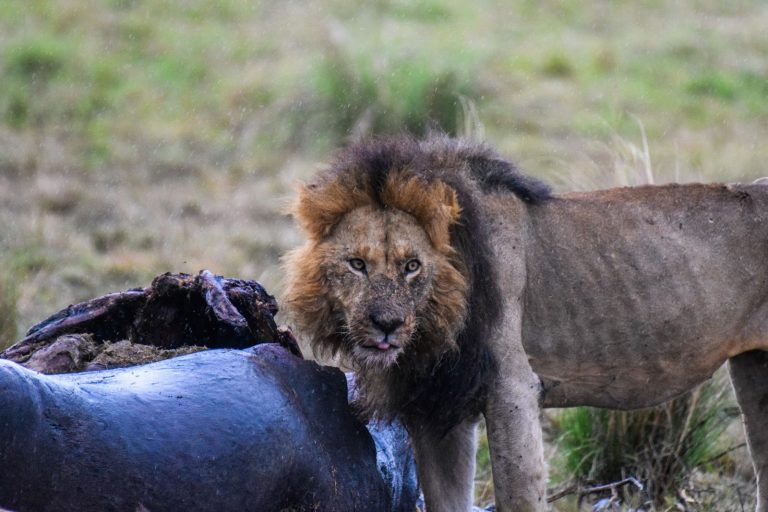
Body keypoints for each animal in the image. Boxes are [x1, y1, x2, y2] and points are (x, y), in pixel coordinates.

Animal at [283, 135, 768, 512]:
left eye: (412, 266)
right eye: (357, 264)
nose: (386, 324)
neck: (434, 332)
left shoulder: (512, 388)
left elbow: (518, 495)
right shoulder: (435, 409)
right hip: (753, 370)